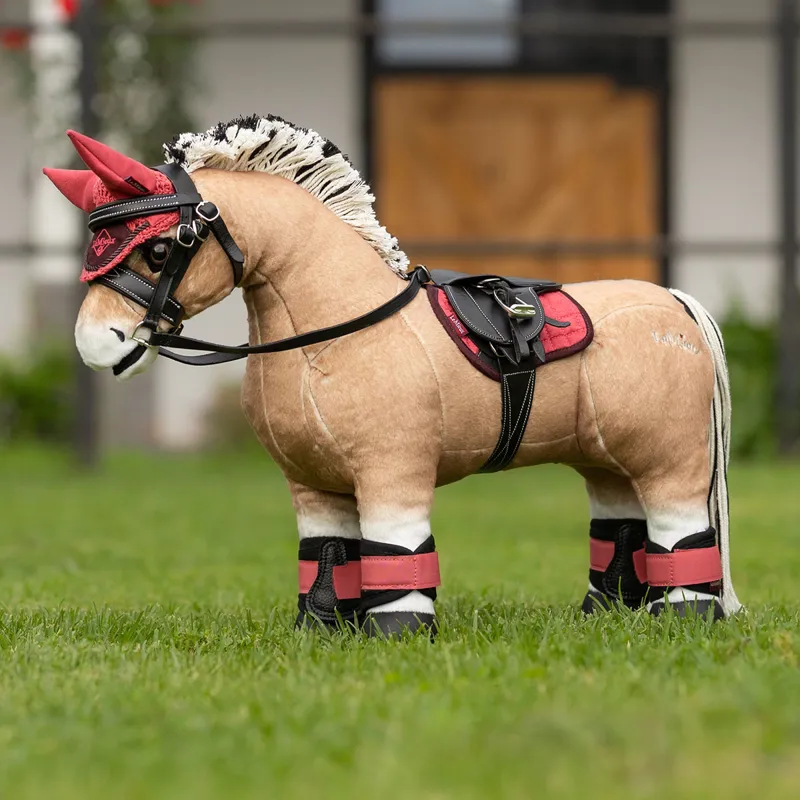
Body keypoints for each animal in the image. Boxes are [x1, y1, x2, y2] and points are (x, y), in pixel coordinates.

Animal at [44, 114, 740, 636]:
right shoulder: (312, 484)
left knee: (680, 531)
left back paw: (684, 620)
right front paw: (321, 631)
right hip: (606, 458)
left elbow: (396, 553)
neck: (332, 335)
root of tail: (676, 303)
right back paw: (604, 617)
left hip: (672, 458)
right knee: (619, 526)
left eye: (160, 248)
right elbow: (326, 556)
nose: (95, 343)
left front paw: (397, 636)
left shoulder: (392, 471)